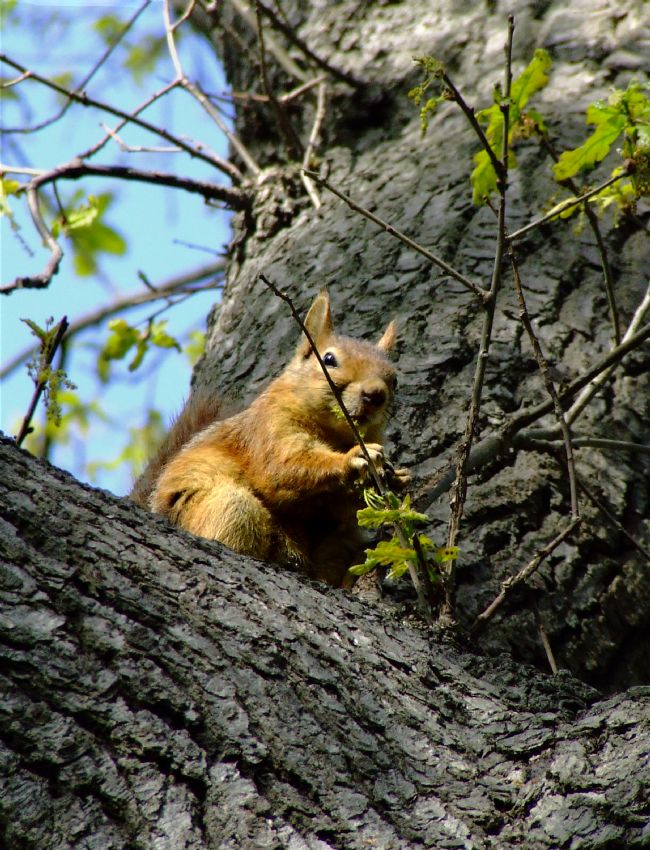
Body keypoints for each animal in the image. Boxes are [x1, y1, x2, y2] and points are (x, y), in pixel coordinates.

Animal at [130, 290, 404, 584]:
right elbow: (283, 467)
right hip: (226, 507)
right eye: (329, 359)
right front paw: (355, 458)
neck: (335, 433)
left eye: (394, 380)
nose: (375, 394)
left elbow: (342, 508)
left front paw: (396, 477)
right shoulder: (268, 429)